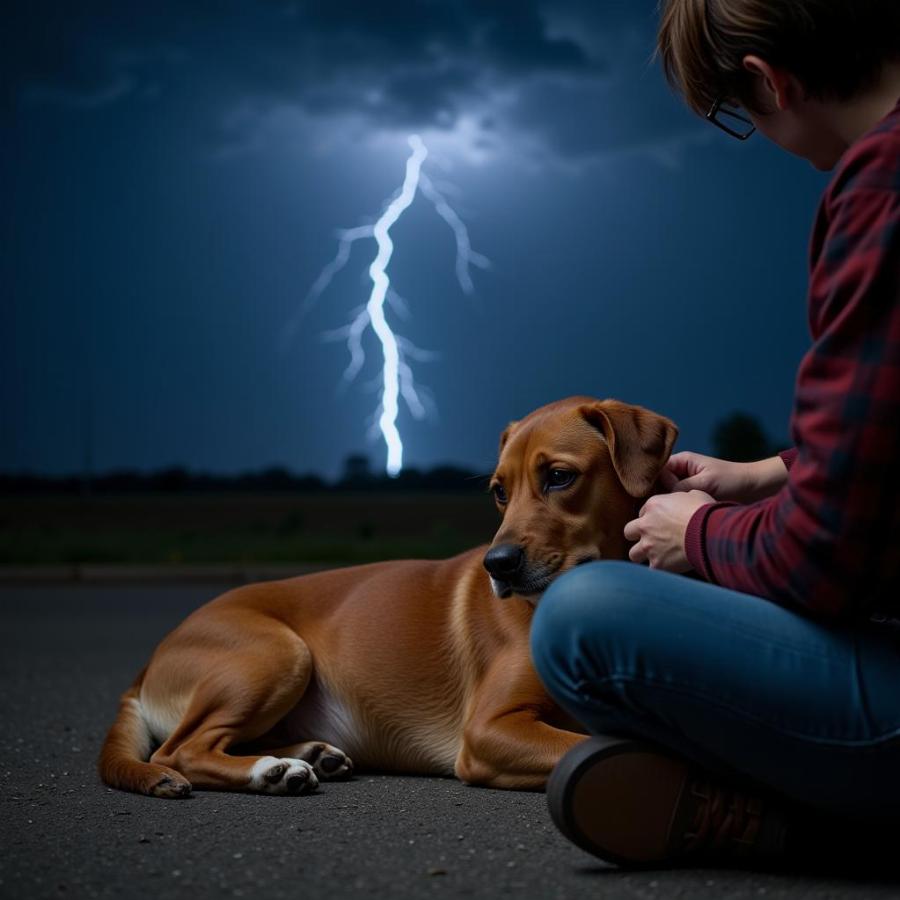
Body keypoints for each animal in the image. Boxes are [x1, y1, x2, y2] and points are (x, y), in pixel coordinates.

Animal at [100, 398, 676, 800]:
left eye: (559, 476)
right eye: (499, 492)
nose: (497, 565)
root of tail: (149, 661)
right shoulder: (489, 730)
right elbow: (586, 747)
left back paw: (306, 756)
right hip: (278, 654)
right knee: (180, 750)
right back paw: (273, 771)